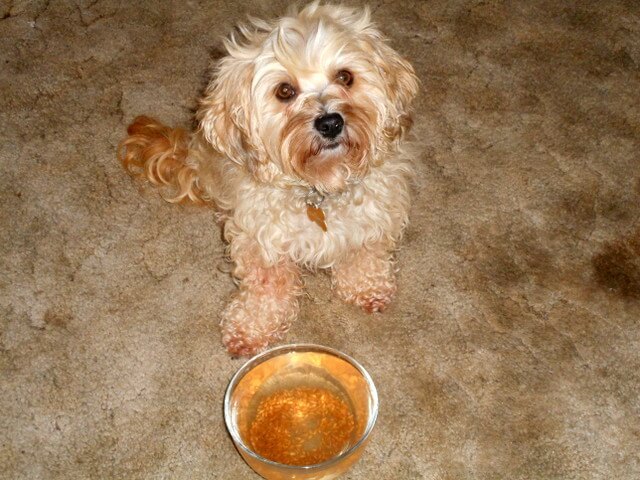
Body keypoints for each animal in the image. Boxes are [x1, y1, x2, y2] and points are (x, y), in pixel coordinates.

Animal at [118, 1, 420, 356]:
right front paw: (252, 326)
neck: (319, 187)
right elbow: (266, 284)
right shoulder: (261, 239)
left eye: (345, 76)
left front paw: (366, 286)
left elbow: (365, 253)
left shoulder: (374, 217)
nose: (330, 123)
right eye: (284, 91)